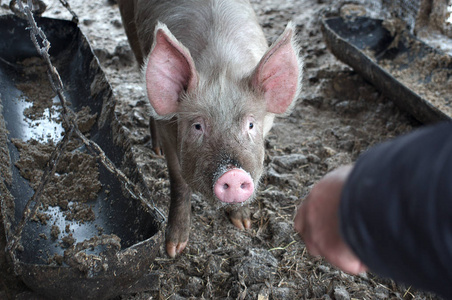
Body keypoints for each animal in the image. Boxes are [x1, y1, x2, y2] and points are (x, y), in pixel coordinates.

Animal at [118, 0, 304, 258]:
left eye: (250, 124)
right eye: (198, 126)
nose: (233, 174)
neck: (221, 67)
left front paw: (243, 224)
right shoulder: (169, 128)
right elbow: (179, 182)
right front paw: (174, 249)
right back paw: (156, 151)